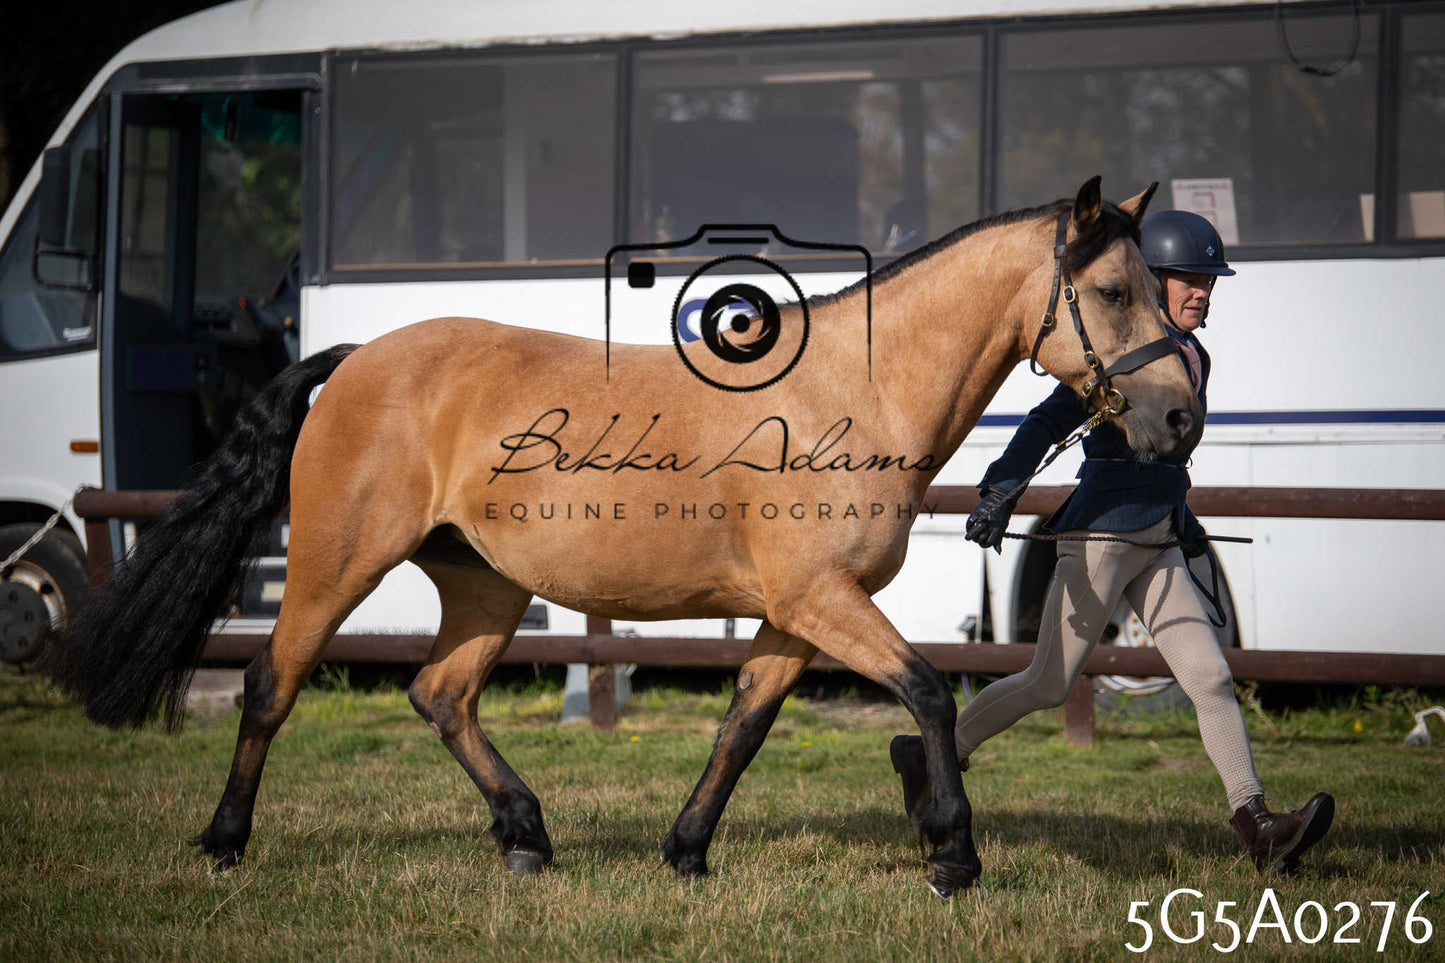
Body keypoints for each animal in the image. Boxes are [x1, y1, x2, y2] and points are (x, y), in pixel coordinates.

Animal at [47, 176, 1199, 897]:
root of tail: (358, 358)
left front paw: (685, 853)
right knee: (269, 686)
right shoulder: (822, 602)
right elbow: (926, 690)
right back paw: (226, 841)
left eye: (1154, 287)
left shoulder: (794, 616)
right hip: (337, 564)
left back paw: (526, 837)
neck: (852, 388)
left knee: (440, 694)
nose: (1178, 416)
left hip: (487, 586)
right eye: (1110, 291)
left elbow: (743, 726)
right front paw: (951, 855)